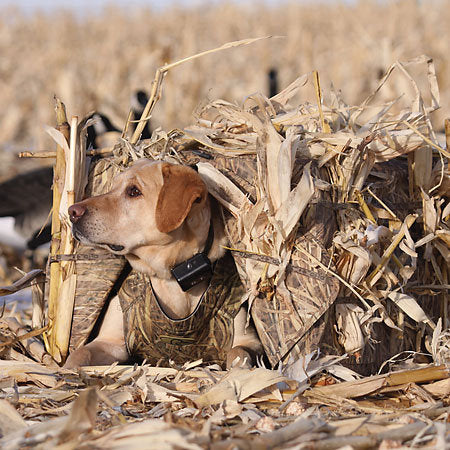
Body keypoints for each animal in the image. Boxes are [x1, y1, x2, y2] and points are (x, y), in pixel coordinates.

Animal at [63, 161, 260, 370]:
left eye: (133, 191)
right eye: (111, 188)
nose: (72, 212)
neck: (171, 276)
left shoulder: (248, 340)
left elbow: (238, 353)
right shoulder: (110, 341)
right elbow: (80, 352)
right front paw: (67, 371)